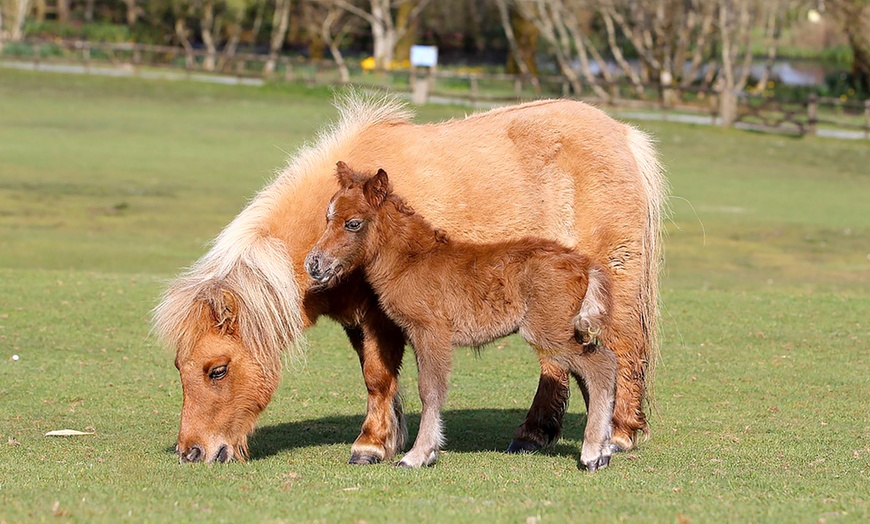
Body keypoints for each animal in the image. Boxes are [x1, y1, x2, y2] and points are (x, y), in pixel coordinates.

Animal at [306, 162, 620, 472]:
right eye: (327, 218)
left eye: (353, 223)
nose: (314, 264)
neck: (411, 261)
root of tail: (585, 265)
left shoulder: (431, 331)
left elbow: (430, 390)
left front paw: (417, 455)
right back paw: (603, 450)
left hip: (548, 330)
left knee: (602, 366)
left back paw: (593, 454)